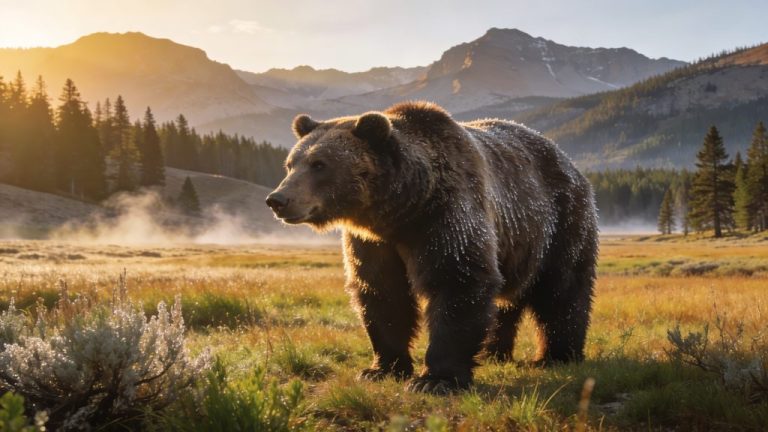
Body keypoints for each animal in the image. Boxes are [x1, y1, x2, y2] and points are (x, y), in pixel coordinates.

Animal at [266, 101, 598, 394]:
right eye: (290, 164)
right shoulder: (373, 242)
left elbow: (457, 280)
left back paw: (556, 356)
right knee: (506, 302)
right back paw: (493, 352)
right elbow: (382, 292)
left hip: (561, 221)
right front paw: (380, 369)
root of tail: (568, 161)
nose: (277, 199)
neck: (400, 210)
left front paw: (435, 379)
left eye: (319, 164)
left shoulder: (446, 215)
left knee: (563, 288)